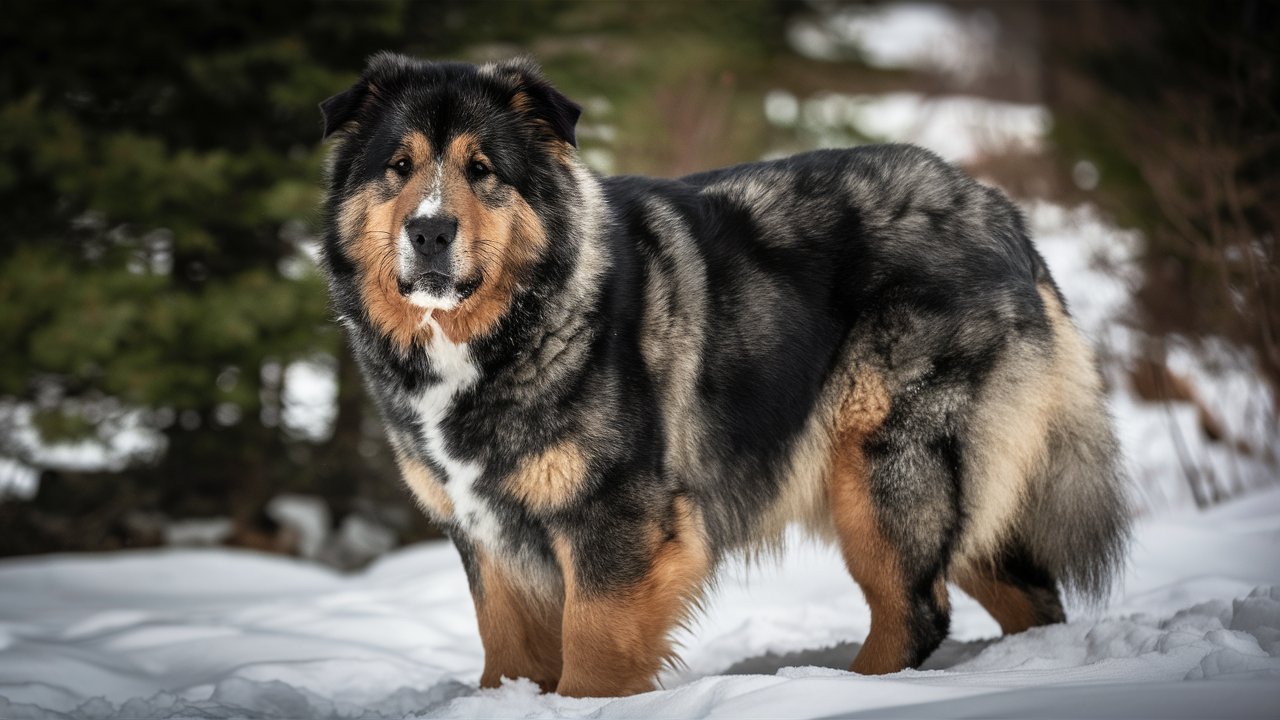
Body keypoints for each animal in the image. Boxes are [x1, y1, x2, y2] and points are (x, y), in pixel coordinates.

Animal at [320, 54, 1131, 696]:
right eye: (399, 167)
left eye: (482, 170)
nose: (429, 231)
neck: (508, 327)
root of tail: (998, 213)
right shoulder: (487, 533)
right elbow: (507, 656)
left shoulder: (617, 521)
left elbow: (592, 658)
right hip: (957, 485)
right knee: (1023, 595)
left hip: (884, 468)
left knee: (916, 612)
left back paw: (836, 690)